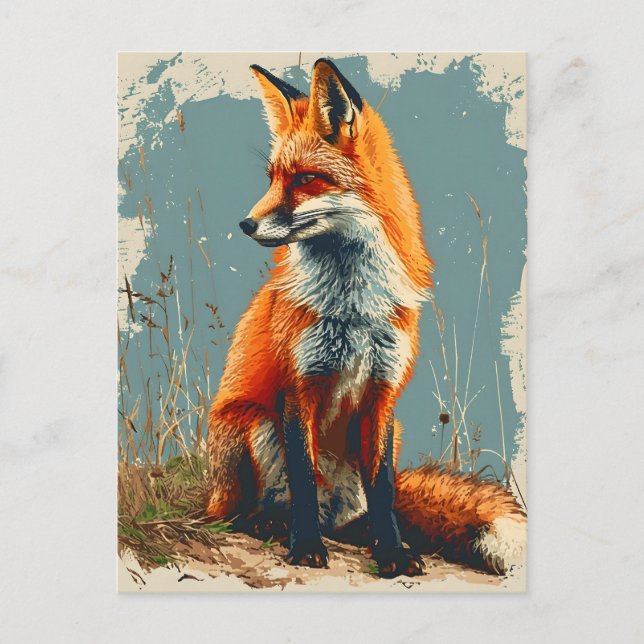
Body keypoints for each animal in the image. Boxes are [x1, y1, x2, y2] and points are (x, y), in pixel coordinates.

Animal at [206, 58, 526, 578]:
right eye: (272, 177)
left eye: (304, 179)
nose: (245, 224)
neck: (353, 308)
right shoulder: (299, 386)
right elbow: (302, 475)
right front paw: (305, 546)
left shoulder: (382, 393)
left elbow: (384, 491)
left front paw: (392, 551)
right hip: (252, 424)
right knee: (242, 512)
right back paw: (271, 524)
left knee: (363, 512)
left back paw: (359, 536)